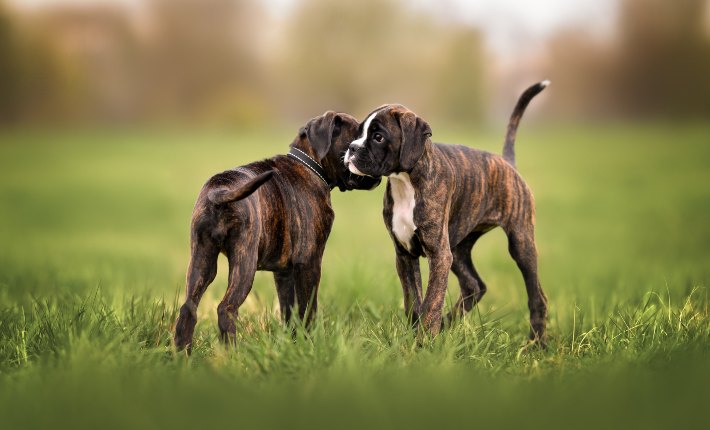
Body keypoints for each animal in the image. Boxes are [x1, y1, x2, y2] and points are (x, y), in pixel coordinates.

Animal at [175, 111, 382, 352]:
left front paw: (293, 343)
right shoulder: (309, 263)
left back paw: (182, 354)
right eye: (357, 137)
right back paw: (231, 354)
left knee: (188, 307)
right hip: (244, 262)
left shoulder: (284, 273)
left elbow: (288, 310)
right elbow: (307, 308)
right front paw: (310, 343)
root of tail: (221, 190)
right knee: (226, 308)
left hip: (202, 260)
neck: (310, 164)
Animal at [344, 82, 552, 344]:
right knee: (474, 285)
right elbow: (414, 301)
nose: (351, 148)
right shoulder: (405, 254)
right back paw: (446, 326)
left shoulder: (439, 254)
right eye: (358, 133)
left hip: (520, 243)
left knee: (537, 296)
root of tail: (506, 162)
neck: (406, 182)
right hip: (458, 247)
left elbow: (432, 301)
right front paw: (416, 337)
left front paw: (424, 341)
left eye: (378, 137)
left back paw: (536, 344)